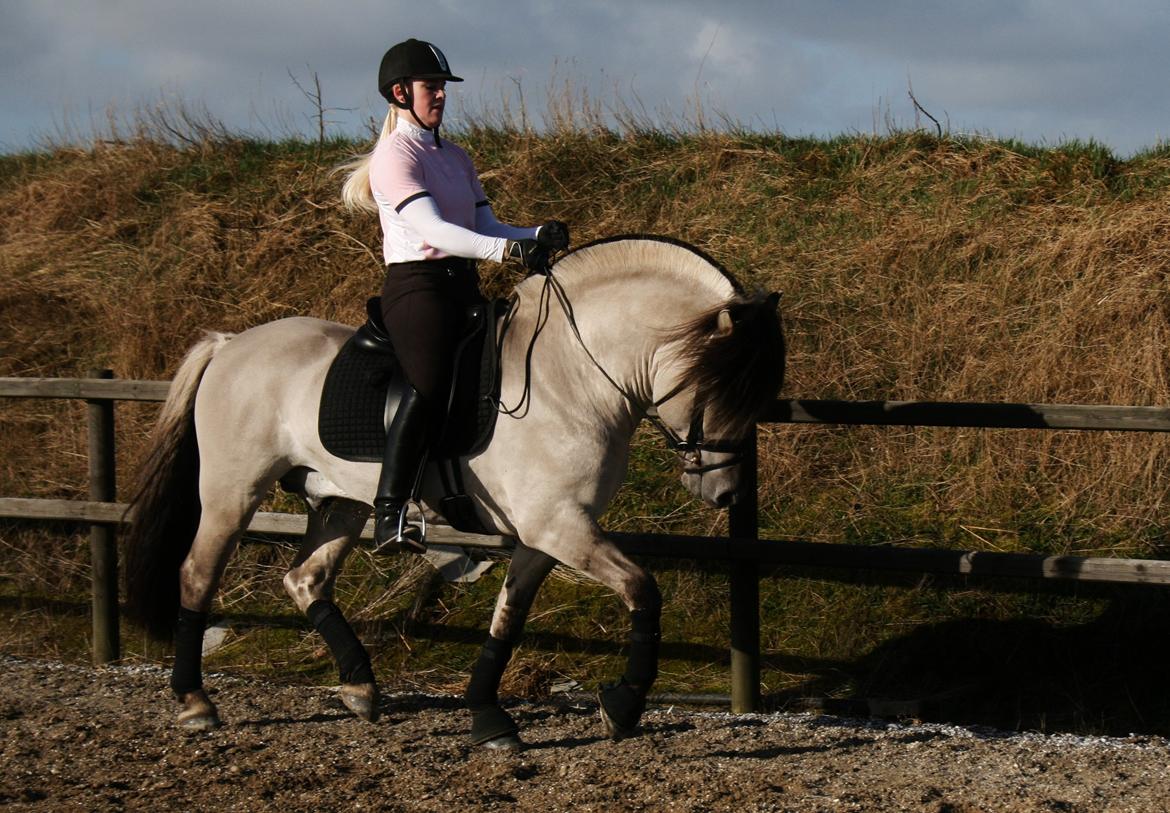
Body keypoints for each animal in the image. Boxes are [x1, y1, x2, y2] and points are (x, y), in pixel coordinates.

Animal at [125, 235, 786, 748]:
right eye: (720, 388)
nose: (726, 494)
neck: (571, 375)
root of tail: (230, 344)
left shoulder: (548, 531)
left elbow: (507, 619)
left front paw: (488, 716)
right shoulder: (559, 525)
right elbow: (642, 589)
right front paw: (623, 705)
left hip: (339, 503)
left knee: (305, 579)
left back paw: (361, 688)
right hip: (232, 494)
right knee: (197, 575)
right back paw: (195, 702)